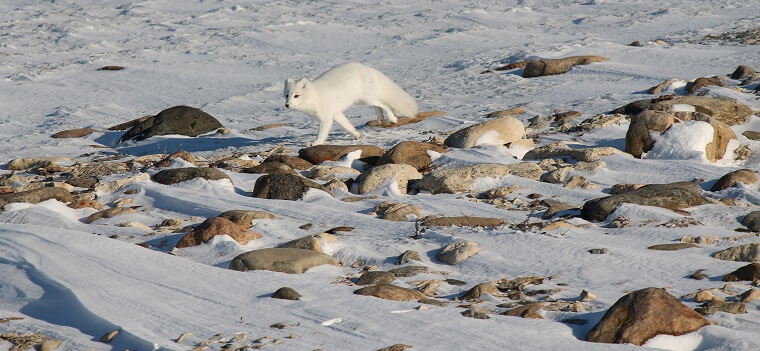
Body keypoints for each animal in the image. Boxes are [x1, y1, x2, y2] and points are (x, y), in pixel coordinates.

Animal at [284, 62, 418, 146]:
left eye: (296, 96)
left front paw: (315, 143)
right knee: (379, 104)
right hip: (363, 100)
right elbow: (347, 126)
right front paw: (357, 135)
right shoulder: (336, 114)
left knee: (385, 104)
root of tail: (368, 68)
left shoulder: (326, 118)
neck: (314, 98)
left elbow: (321, 133)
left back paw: (392, 118)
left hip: (367, 98)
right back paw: (381, 117)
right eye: (287, 95)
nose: (287, 105)